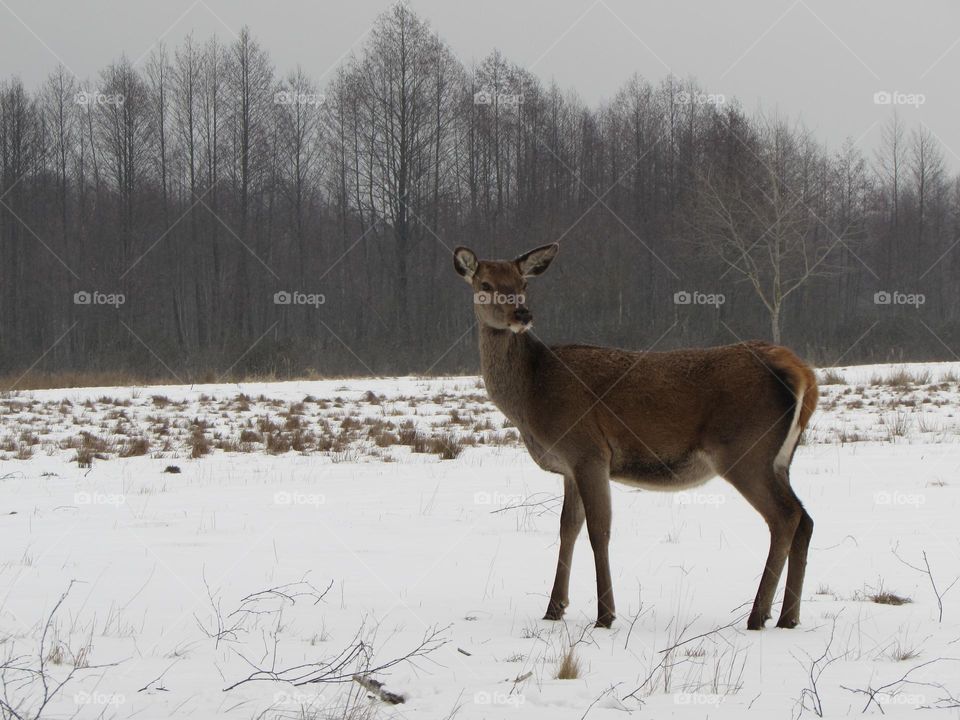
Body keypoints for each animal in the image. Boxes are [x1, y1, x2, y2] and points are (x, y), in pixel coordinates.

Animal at [452, 243, 816, 632]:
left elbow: (599, 530)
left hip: (744, 450)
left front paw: (605, 615)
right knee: (805, 519)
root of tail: (801, 372)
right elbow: (568, 528)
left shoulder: (589, 451)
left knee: (785, 517)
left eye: (523, 284)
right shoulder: (569, 466)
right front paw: (554, 608)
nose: (522, 313)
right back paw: (789, 617)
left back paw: (758, 615)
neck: (531, 397)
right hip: (780, 458)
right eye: (486, 284)